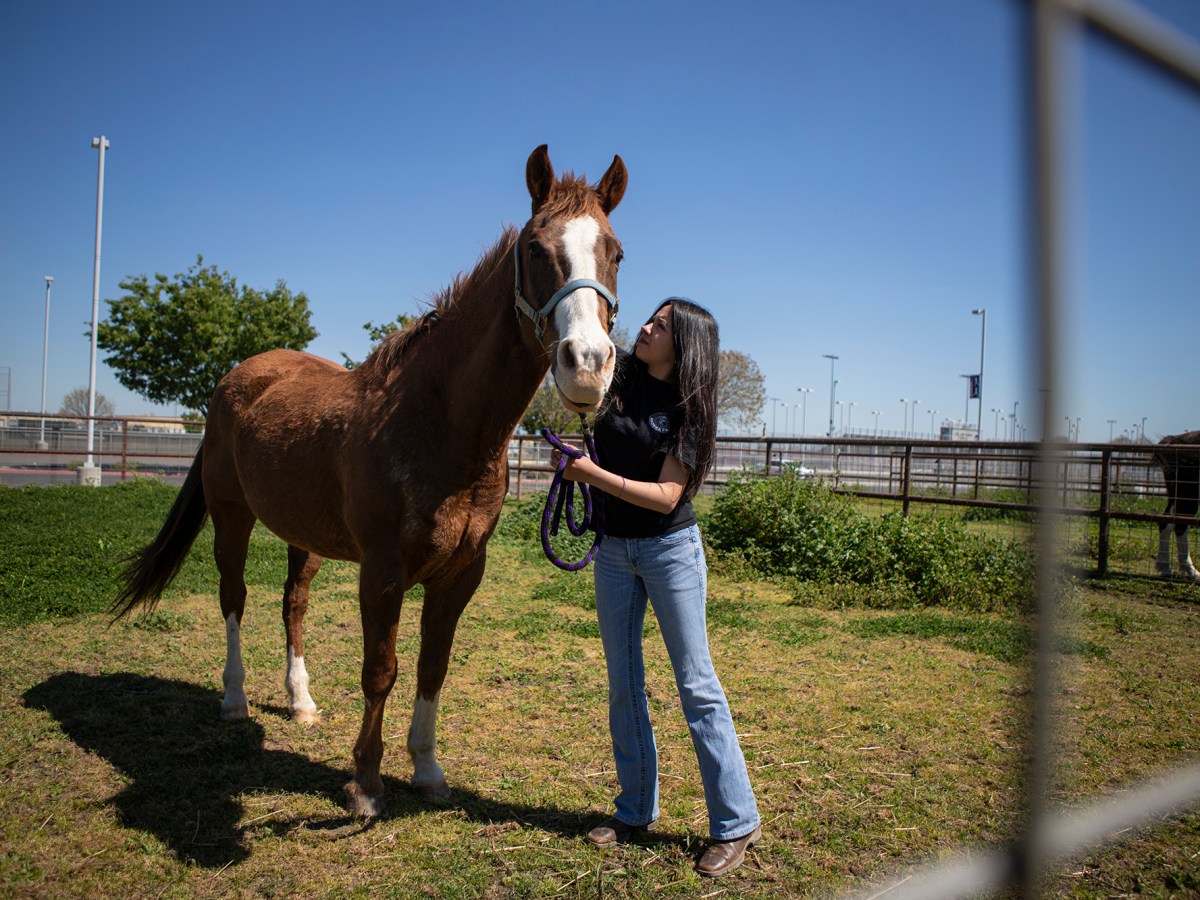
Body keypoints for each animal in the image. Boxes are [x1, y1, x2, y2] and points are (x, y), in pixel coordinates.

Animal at [112, 146, 628, 816]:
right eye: (537, 248)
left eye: (616, 252)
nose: (588, 365)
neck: (438, 420)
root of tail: (237, 378)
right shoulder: (381, 571)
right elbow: (380, 669)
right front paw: (365, 783)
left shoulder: (460, 574)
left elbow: (433, 666)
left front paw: (427, 770)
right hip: (232, 518)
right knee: (235, 598)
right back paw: (234, 699)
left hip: (301, 536)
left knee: (293, 603)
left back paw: (301, 702)